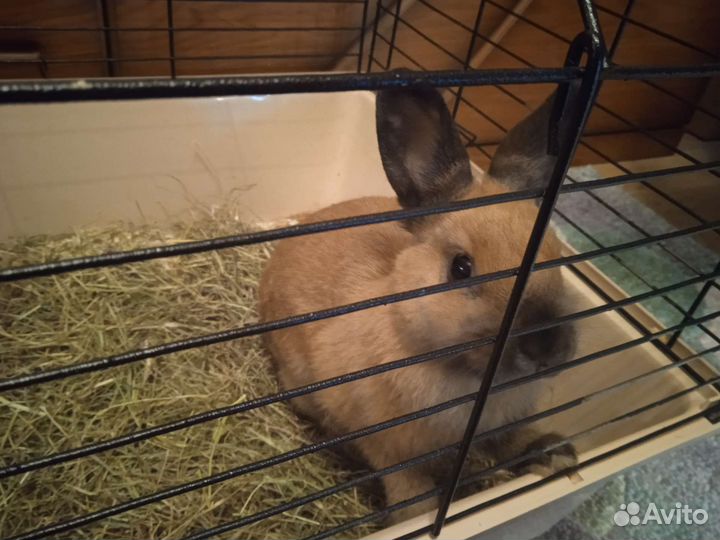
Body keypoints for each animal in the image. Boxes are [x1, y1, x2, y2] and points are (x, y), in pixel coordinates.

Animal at [258, 83, 579, 523]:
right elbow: (412, 493)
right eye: (461, 268)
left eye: (557, 255)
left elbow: (515, 441)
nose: (545, 346)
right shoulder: (392, 452)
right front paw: (419, 519)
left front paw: (555, 454)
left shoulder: (505, 424)